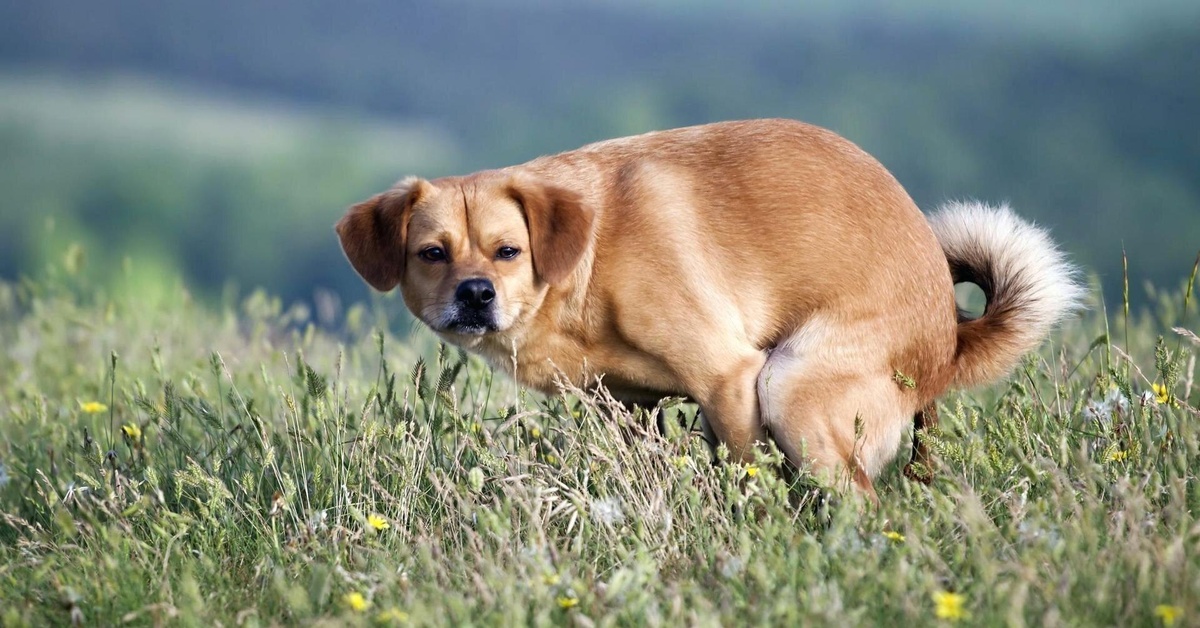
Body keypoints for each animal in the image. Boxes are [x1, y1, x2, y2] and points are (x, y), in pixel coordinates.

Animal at [333, 119, 1084, 497]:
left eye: (507, 251)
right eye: (433, 254)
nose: (476, 293)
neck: (585, 261)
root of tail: (949, 340)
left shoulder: (729, 377)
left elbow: (748, 467)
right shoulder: (625, 405)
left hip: (791, 386)